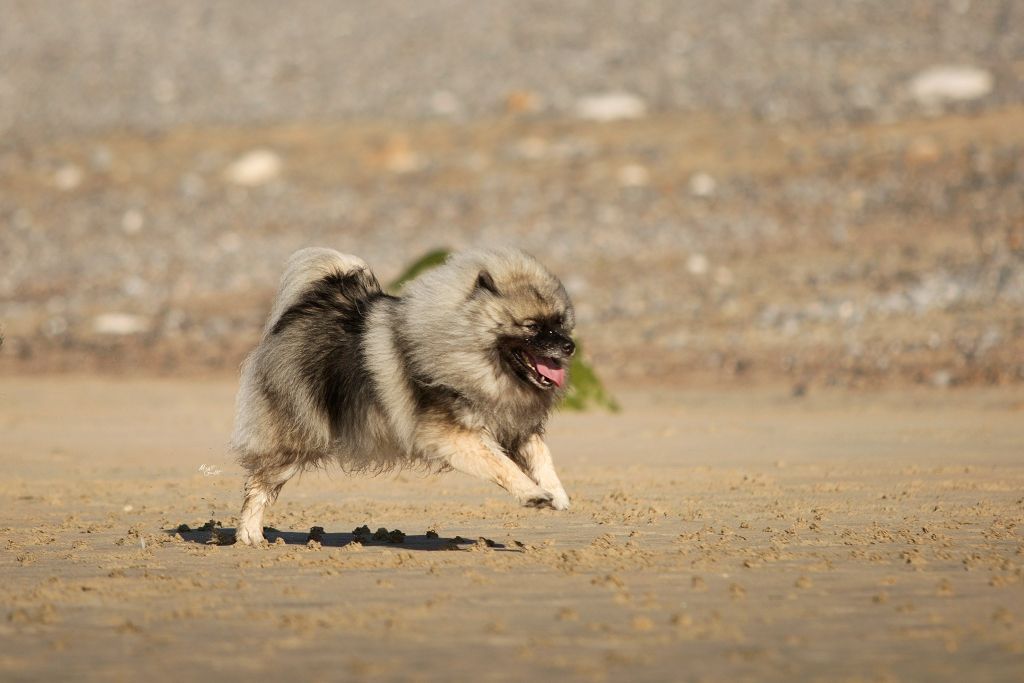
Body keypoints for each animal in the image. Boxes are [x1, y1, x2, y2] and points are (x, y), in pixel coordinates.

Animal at [231, 245, 577, 544]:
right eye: (532, 326)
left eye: (560, 323)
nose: (569, 346)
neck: (463, 348)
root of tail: (302, 311)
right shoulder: (453, 436)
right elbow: (503, 466)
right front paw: (533, 495)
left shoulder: (515, 423)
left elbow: (542, 456)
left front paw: (558, 494)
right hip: (299, 437)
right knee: (258, 484)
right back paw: (250, 535)